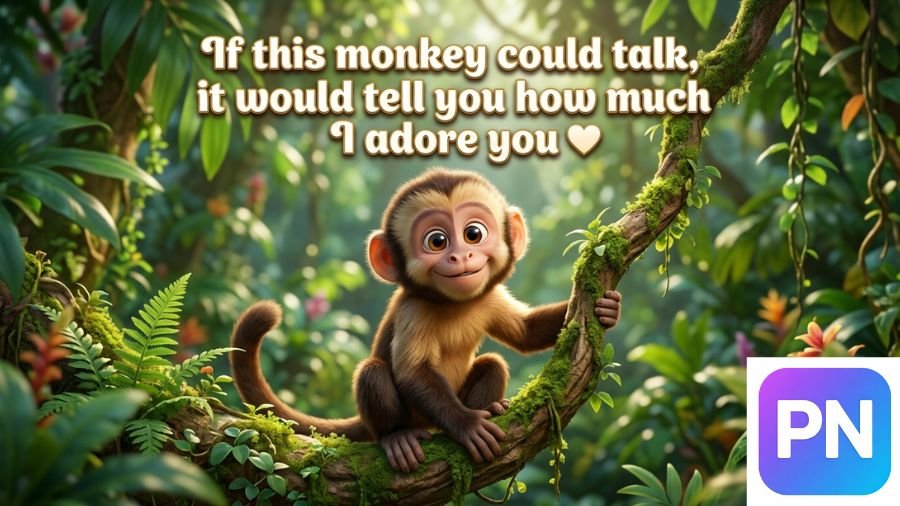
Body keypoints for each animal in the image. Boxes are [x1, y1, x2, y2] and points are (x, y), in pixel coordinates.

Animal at [230, 168, 621, 473]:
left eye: (474, 233)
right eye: (437, 241)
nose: (460, 256)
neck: (453, 305)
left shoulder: (488, 297)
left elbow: (526, 334)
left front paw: (607, 308)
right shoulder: (413, 311)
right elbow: (413, 374)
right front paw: (467, 426)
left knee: (493, 363)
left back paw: (491, 407)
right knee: (373, 372)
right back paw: (398, 436)